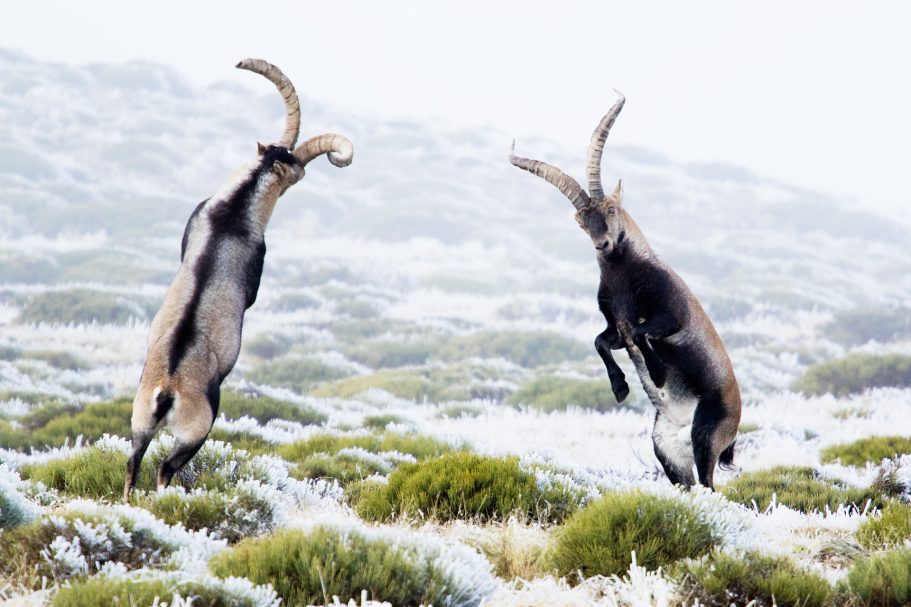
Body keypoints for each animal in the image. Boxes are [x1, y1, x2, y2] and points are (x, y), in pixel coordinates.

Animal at [123, 59, 353, 502]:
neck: (233, 212)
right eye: (294, 169)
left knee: (133, 460)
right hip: (197, 427)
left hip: (139, 419)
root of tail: (168, 391)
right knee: (165, 466)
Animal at [509, 92, 741, 489]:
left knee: (710, 485)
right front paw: (620, 388)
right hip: (668, 450)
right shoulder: (615, 328)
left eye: (612, 208)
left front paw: (658, 374)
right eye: (582, 221)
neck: (625, 278)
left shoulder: (672, 315)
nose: (602, 244)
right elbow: (602, 341)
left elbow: (645, 331)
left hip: (707, 436)